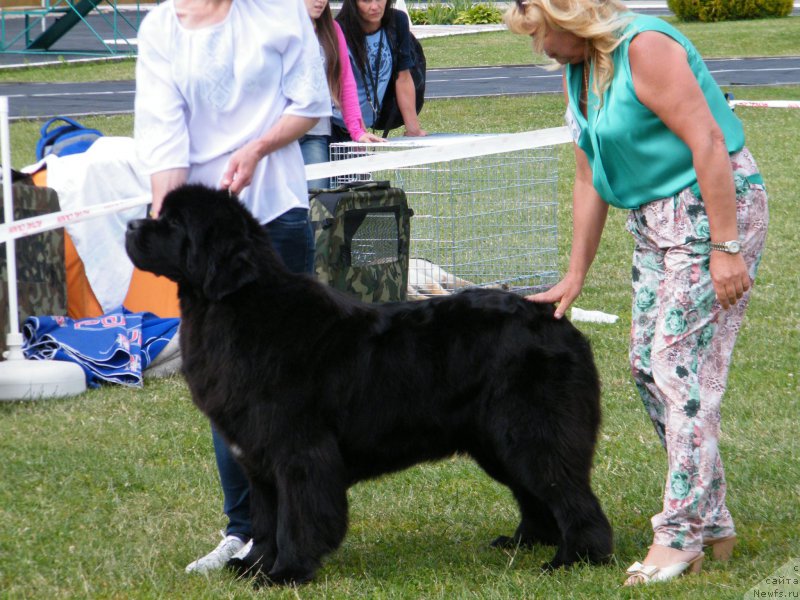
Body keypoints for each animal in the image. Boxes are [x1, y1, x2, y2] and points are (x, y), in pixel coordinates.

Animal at [125, 185, 612, 584]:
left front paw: (286, 573)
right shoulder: (258, 457)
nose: (130, 225)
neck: (232, 307)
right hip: (496, 442)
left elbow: (295, 519)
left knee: (569, 494)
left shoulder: (298, 452)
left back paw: (575, 559)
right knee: (536, 495)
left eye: (173, 223)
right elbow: (265, 522)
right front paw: (253, 567)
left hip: (531, 432)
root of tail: (552, 317)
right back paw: (525, 542)